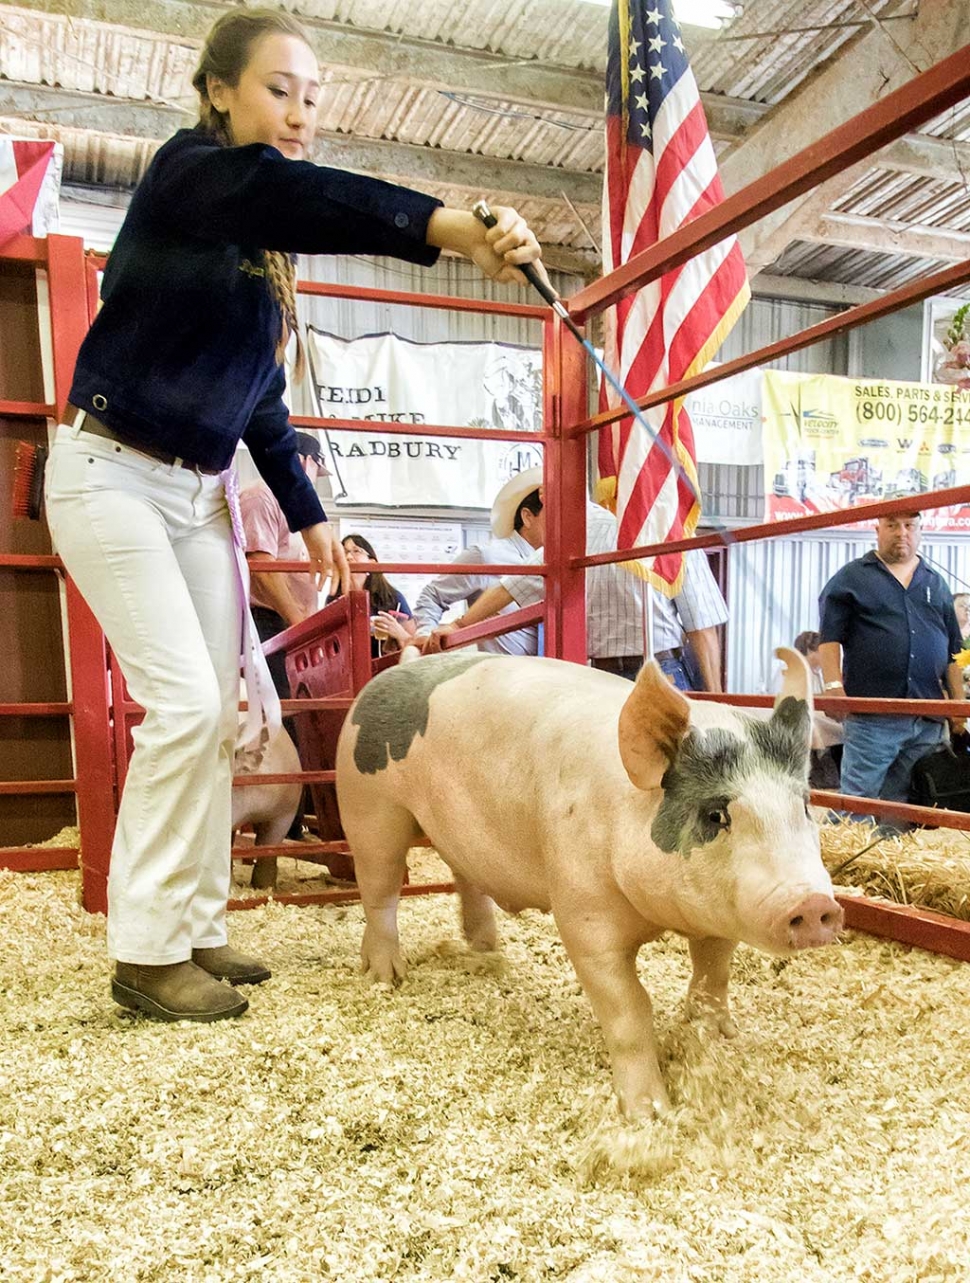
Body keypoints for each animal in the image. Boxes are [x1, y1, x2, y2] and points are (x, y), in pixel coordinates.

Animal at [333, 646, 841, 1118]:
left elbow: (713, 976)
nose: (815, 903)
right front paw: (649, 1113)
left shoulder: (717, 919)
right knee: (379, 890)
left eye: (804, 805)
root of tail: (398, 667)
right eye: (716, 814)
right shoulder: (584, 913)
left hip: (454, 833)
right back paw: (386, 976)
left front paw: (720, 1036)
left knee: (464, 877)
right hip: (368, 805)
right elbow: (629, 1009)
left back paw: (487, 949)